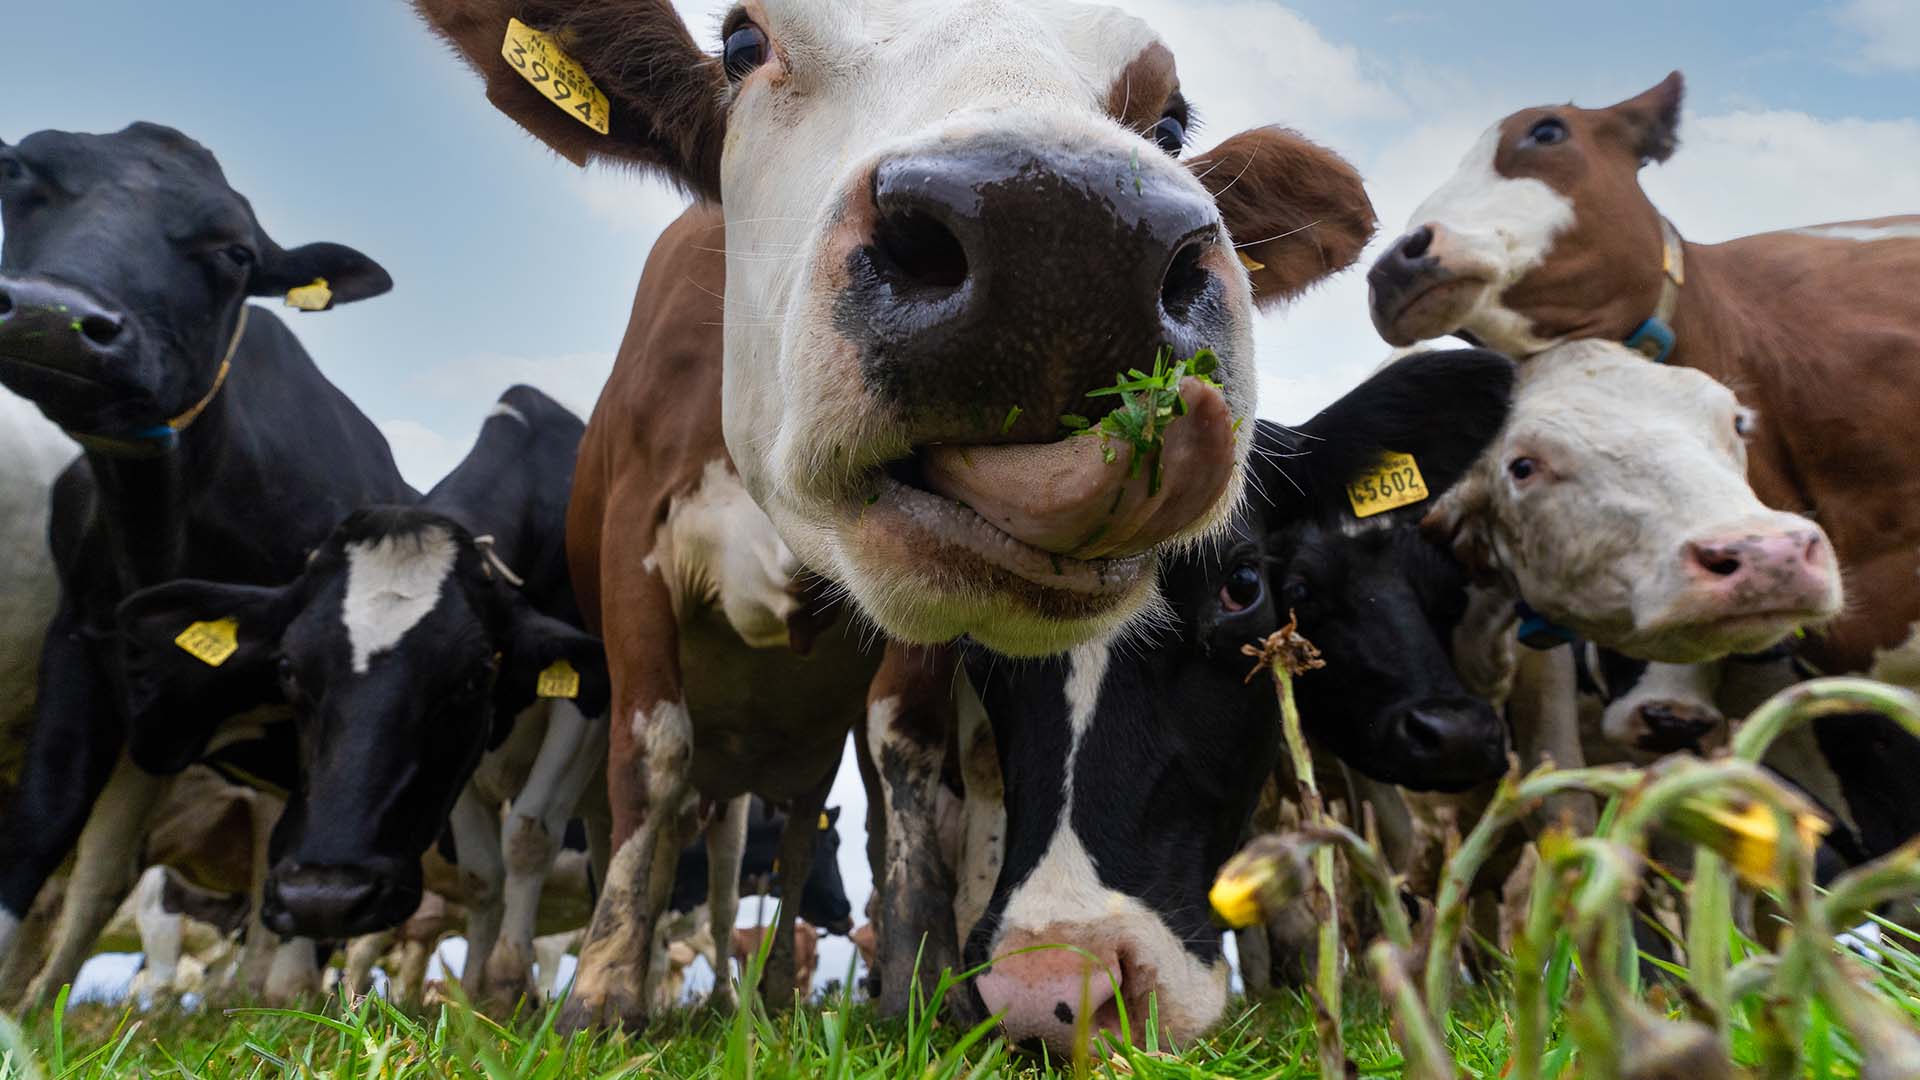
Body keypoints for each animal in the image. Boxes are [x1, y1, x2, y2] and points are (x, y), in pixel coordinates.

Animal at [117, 385, 612, 1003]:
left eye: (475, 674)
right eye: (287, 668)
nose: (324, 898)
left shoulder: (584, 706)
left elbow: (528, 835)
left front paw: (506, 987)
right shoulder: (463, 763)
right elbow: (482, 873)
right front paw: (475, 993)